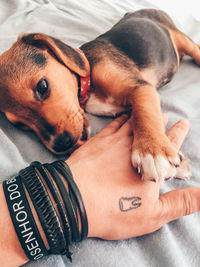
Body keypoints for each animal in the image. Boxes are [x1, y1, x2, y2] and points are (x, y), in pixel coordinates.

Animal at [0, 9, 198, 183]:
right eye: (20, 125)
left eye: (42, 87)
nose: (60, 144)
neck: (88, 83)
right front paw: (176, 159)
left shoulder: (140, 87)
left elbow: (145, 113)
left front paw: (153, 151)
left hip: (180, 37)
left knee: (195, 48)